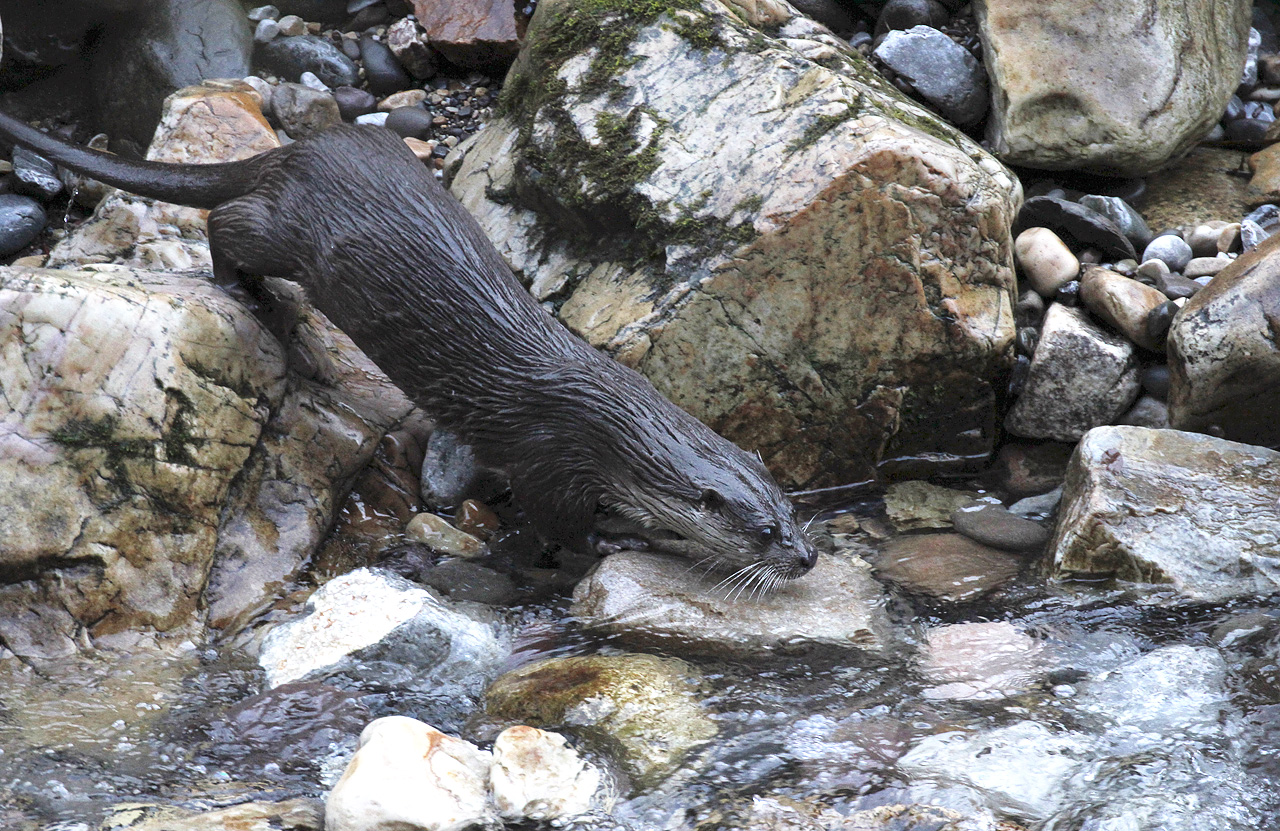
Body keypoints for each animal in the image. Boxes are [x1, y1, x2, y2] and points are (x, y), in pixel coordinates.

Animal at [0, 113, 819, 586]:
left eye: (792, 508)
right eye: (765, 531)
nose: (808, 556)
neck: (608, 419)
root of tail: (295, 149)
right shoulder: (552, 462)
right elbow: (560, 525)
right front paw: (617, 541)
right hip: (289, 231)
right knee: (227, 222)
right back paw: (247, 291)